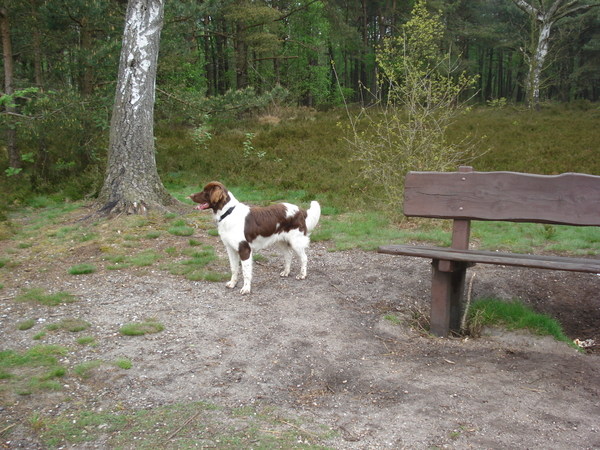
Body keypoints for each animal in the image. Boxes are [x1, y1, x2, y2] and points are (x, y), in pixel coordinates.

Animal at [191, 181, 322, 294]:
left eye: (205, 191)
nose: (190, 195)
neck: (228, 212)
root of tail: (300, 210)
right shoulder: (230, 248)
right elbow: (234, 268)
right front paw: (233, 283)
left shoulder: (244, 249)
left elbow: (246, 272)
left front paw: (246, 289)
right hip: (281, 241)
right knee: (288, 255)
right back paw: (286, 272)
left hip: (296, 241)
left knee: (304, 258)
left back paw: (302, 275)